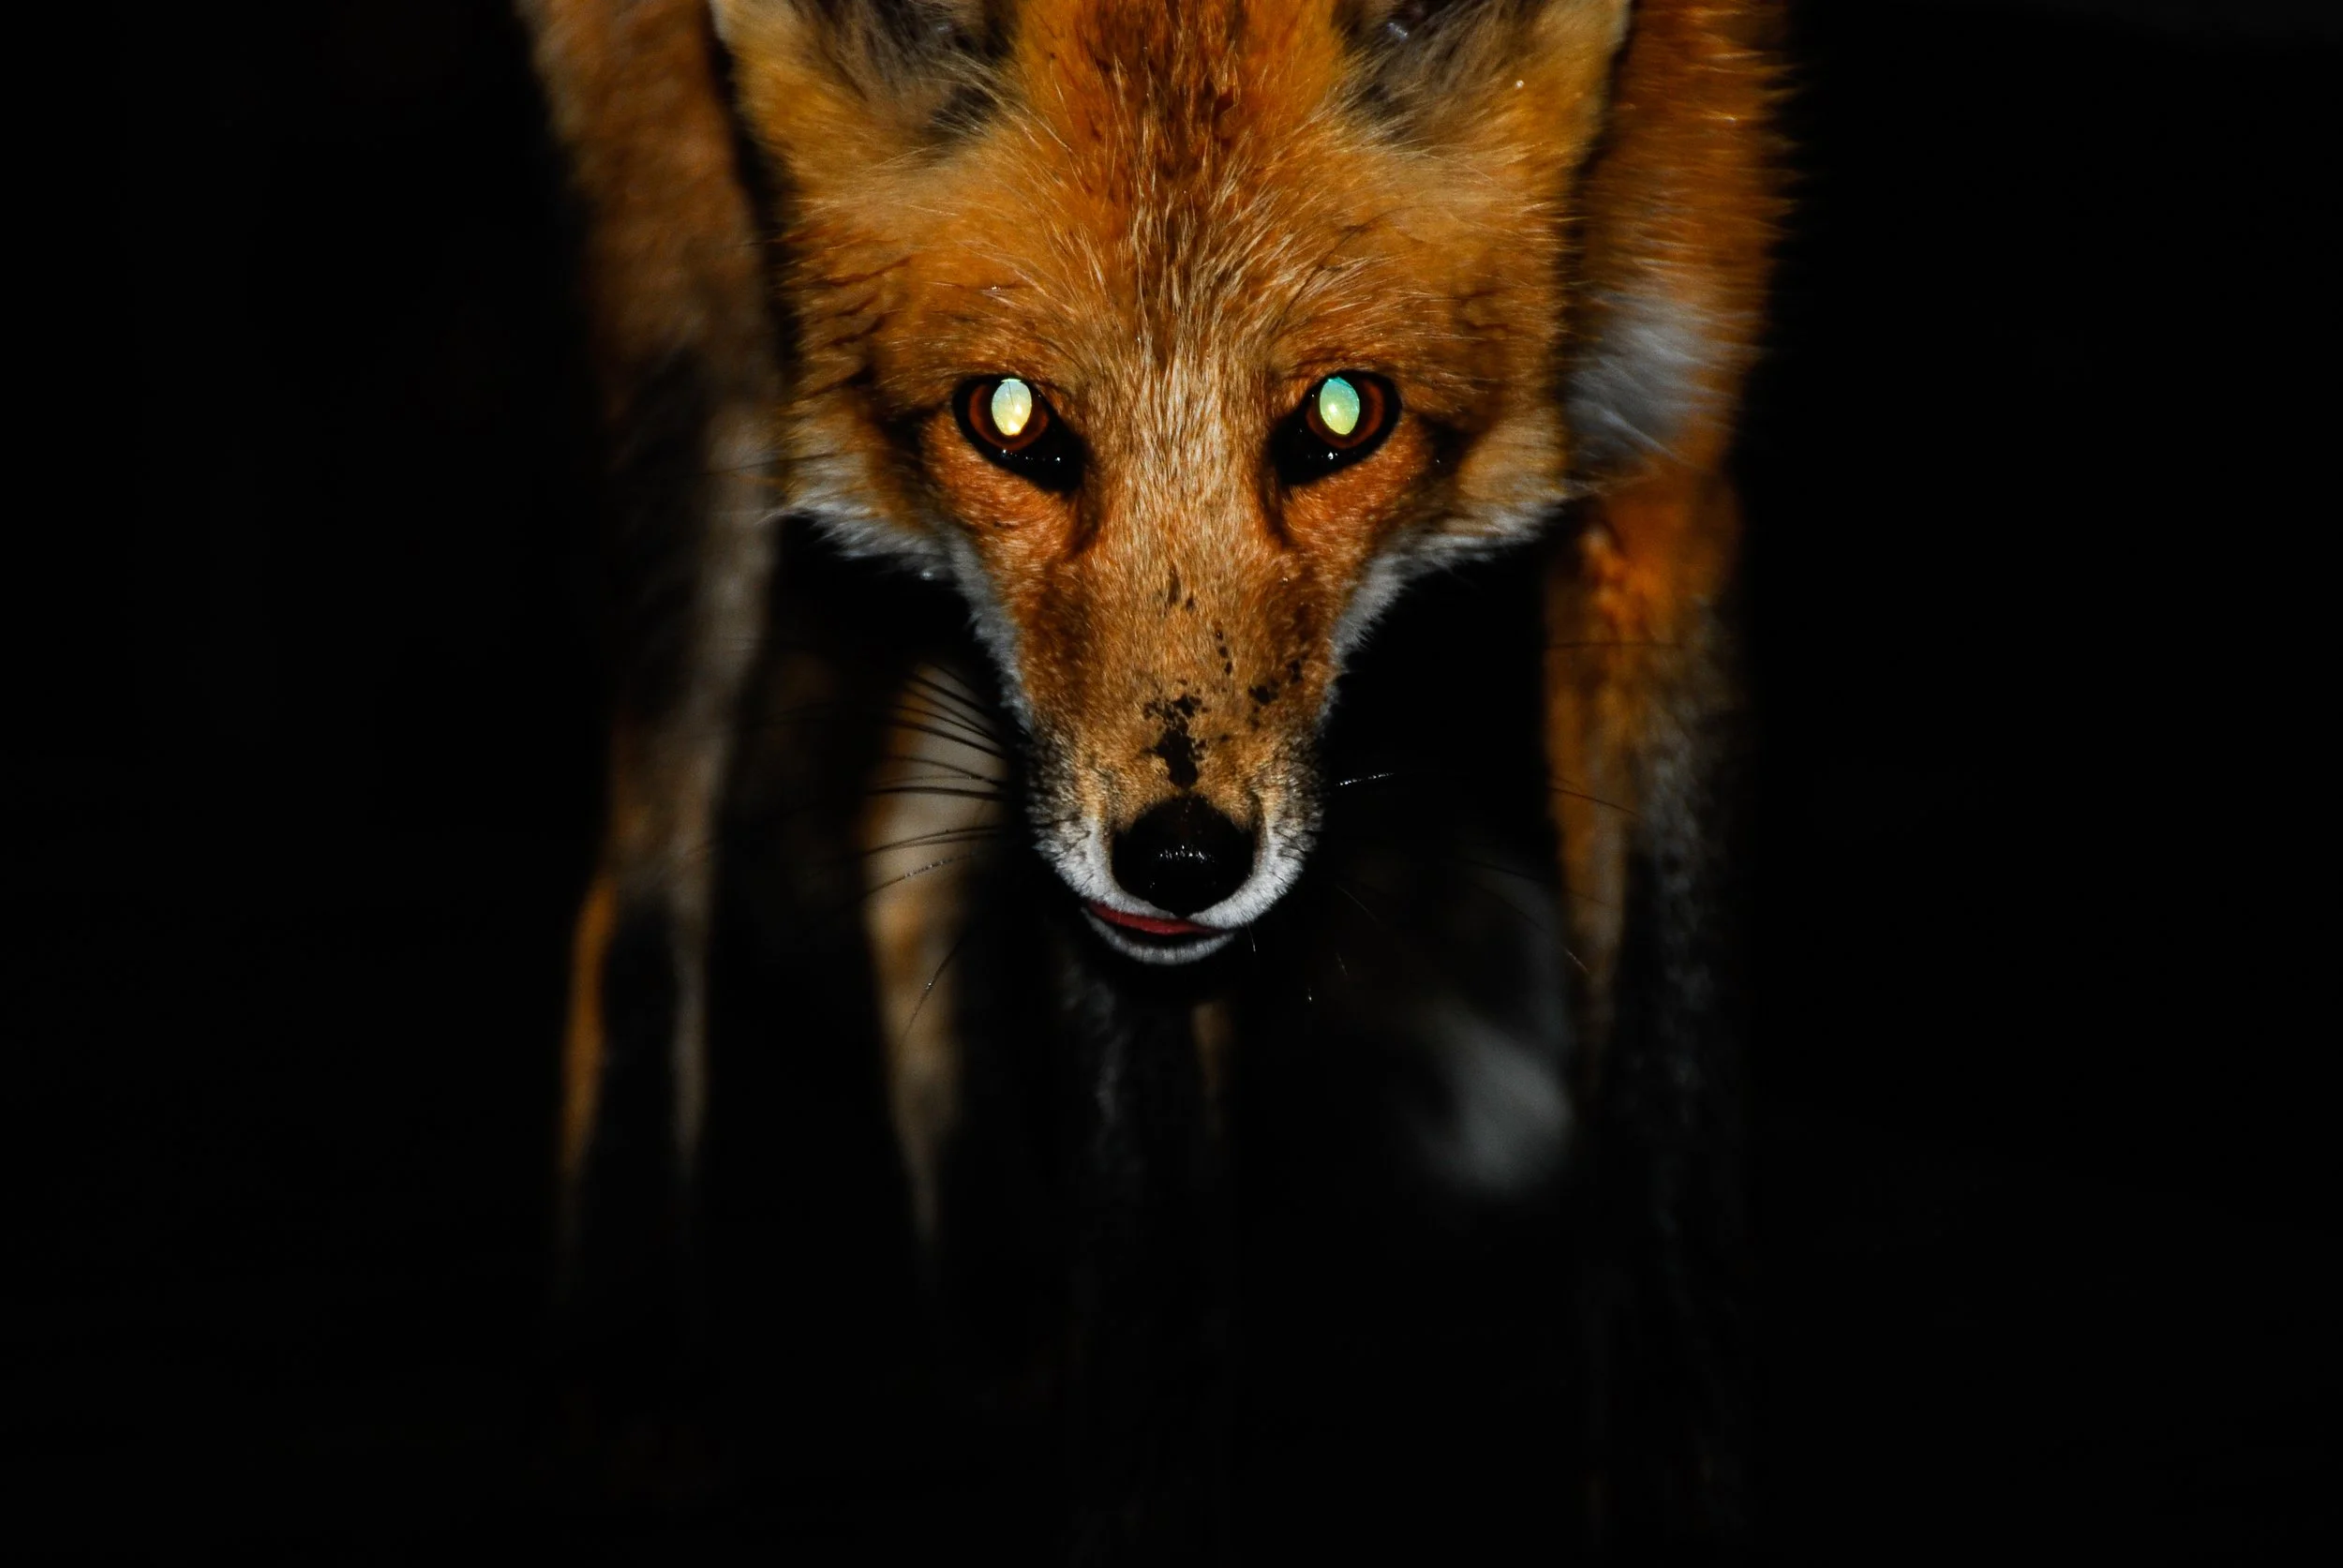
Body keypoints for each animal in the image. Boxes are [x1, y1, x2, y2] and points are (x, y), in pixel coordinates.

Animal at [520, 0, 1777, 1557]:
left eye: (1344, 414)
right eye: (1007, 417)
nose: (1181, 862)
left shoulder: (1668, 444)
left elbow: (1668, 1070)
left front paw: (1679, 1480)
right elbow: (1154, 1226)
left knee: (895, 854)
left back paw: (999, 1289)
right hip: (697, 327)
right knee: (645, 872)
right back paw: (629, 1346)